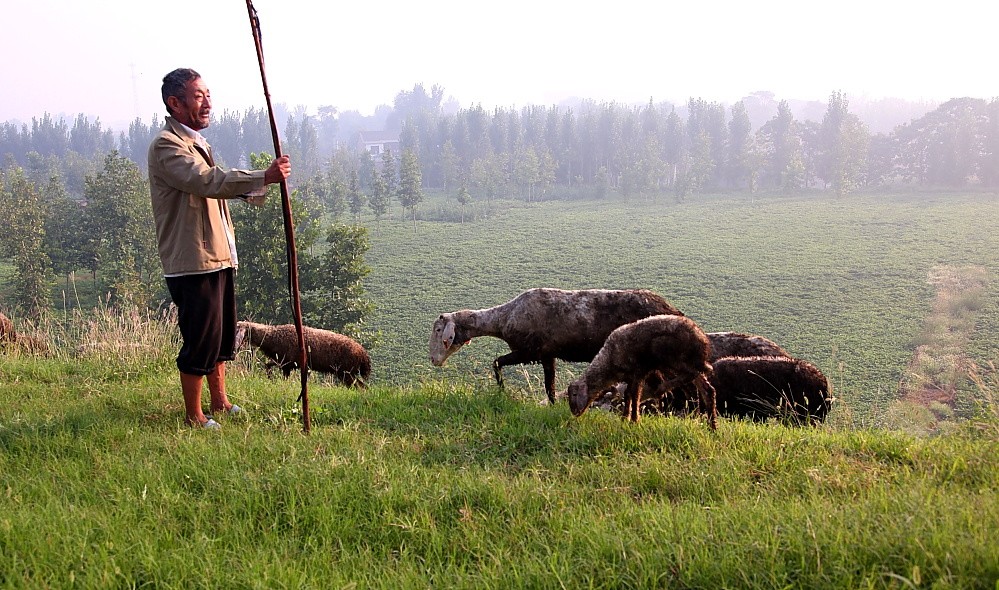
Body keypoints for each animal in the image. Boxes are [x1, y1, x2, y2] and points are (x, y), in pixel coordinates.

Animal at [234, 324, 372, 388]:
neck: (272, 337)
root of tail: (363, 355)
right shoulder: (285, 364)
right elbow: (268, 366)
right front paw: (271, 378)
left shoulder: (288, 363)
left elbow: (270, 368)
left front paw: (271, 379)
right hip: (347, 373)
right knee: (361, 386)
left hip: (346, 373)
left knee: (360, 387)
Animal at [426, 288, 684, 408]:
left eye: (439, 330)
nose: (433, 360)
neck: (503, 318)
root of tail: (674, 310)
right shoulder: (547, 354)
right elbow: (549, 387)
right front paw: (551, 407)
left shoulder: (528, 351)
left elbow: (497, 362)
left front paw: (502, 392)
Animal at [568, 314, 716, 430]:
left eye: (575, 394)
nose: (574, 412)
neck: (609, 361)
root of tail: (701, 340)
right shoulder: (630, 377)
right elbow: (628, 395)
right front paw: (625, 418)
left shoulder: (638, 371)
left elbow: (635, 395)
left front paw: (634, 420)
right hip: (685, 362)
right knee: (707, 389)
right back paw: (712, 426)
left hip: (669, 354)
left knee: (693, 374)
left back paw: (662, 388)